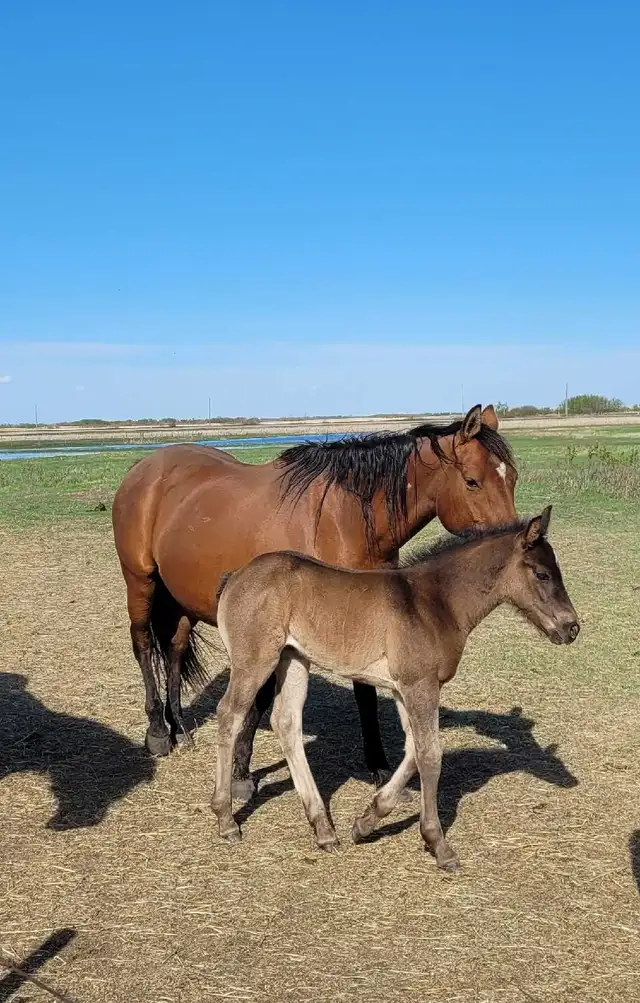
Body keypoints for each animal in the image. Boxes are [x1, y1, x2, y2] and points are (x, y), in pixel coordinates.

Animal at [112, 404, 517, 798]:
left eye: (512, 477)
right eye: (472, 481)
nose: (512, 542)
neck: (342, 519)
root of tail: (147, 466)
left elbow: (364, 694)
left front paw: (379, 768)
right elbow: (260, 698)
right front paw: (241, 773)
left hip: (183, 600)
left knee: (175, 650)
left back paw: (179, 726)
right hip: (140, 582)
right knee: (143, 644)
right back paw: (157, 732)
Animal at [212, 507, 579, 868]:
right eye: (543, 575)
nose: (572, 628)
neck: (434, 602)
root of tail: (235, 576)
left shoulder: (404, 689)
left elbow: (412, 749)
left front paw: (366, 821)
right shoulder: (421, 685)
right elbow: (430, 755)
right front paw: (437, 843)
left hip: (294, 659)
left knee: (286, 722)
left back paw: (324, 830)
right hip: (256, 661)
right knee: (229, 714)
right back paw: (226, 819)